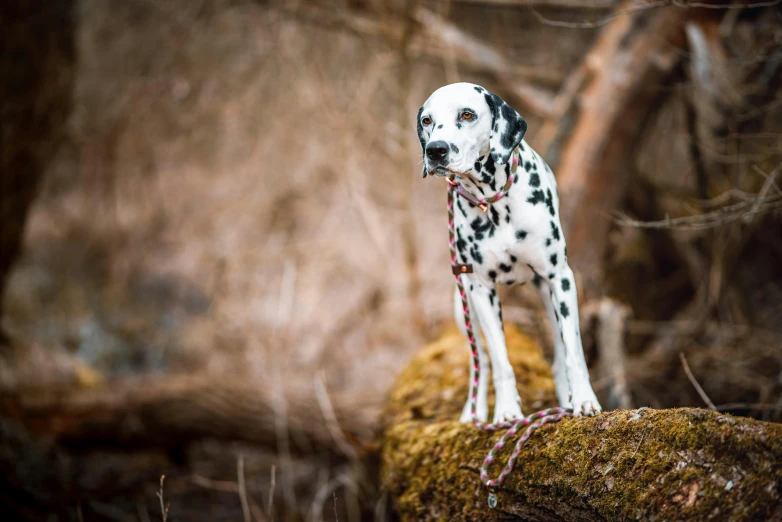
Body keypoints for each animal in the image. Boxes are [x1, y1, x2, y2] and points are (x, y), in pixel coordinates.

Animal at [420, 83, 604, 420]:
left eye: (467, 114)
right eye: (427, 120)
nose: (436, 150)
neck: (494, 202)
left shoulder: (560, 278)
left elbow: (573, 352)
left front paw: (585, 399)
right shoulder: (481, 290)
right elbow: (500, 361)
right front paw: (506, 411)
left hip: (550, 297)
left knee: (560, 353)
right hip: (463, 305)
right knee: (480, 361)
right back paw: (474, 412)